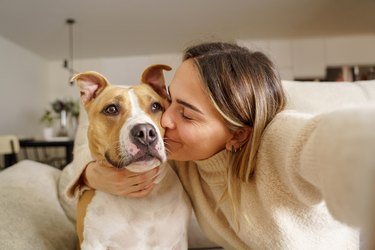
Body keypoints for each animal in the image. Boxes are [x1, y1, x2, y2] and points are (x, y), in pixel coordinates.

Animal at [72, 65, 192, 250]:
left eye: (156, 106)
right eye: (111, 109)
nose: (145, 132)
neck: (142, 201)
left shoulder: (178, 242)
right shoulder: (93, 243)